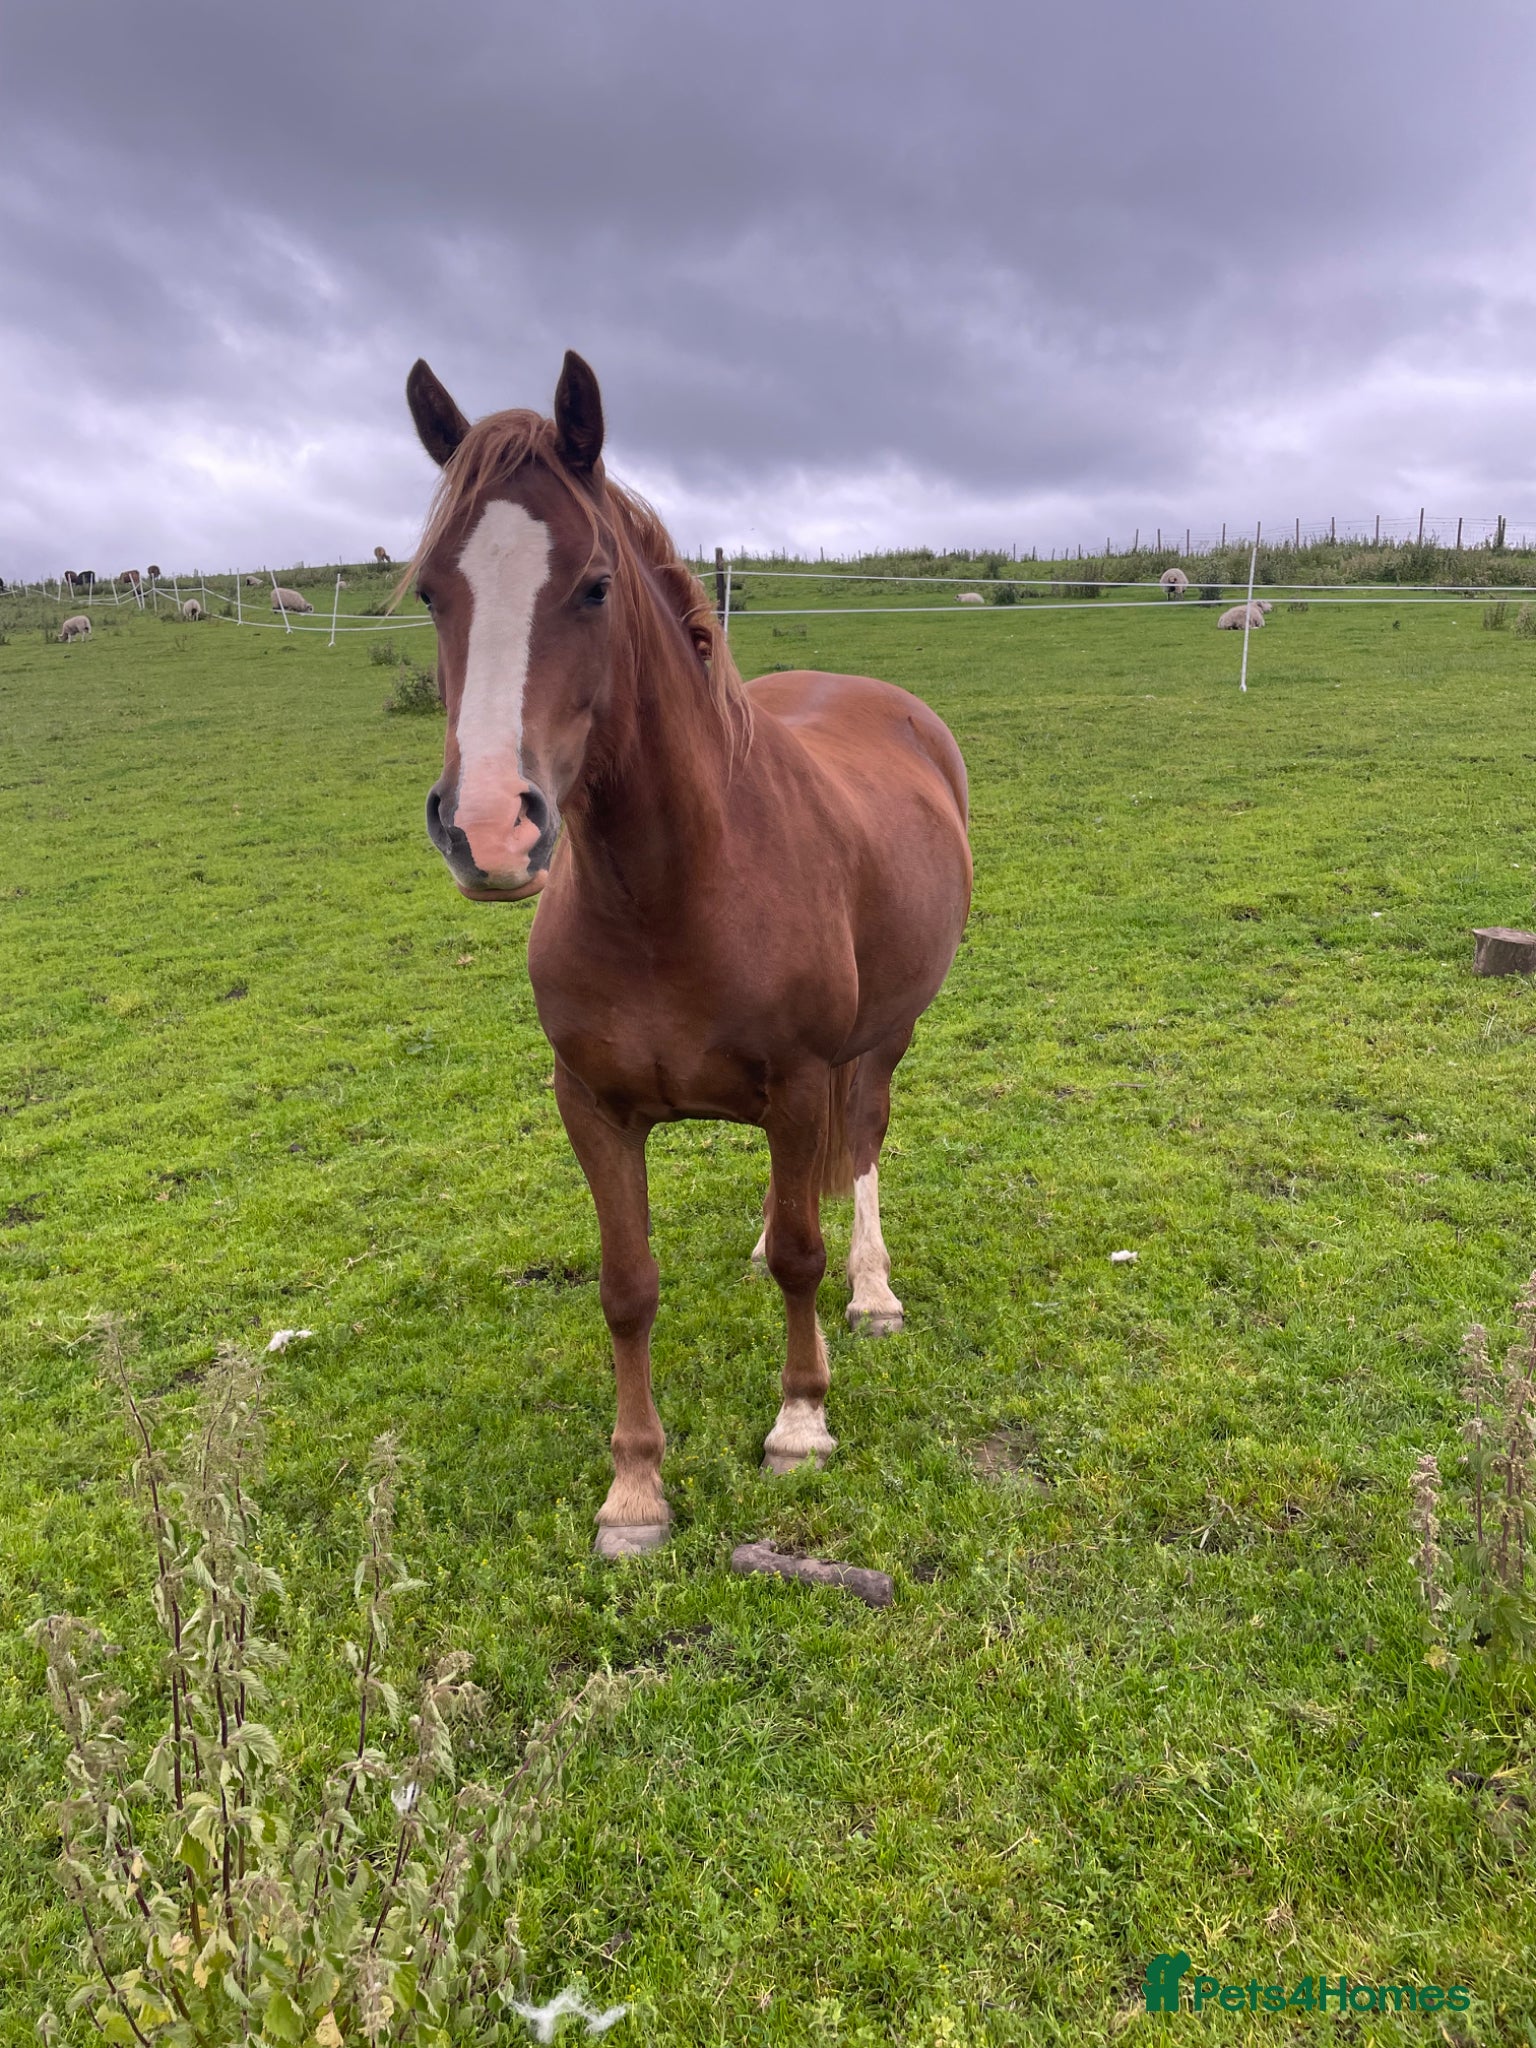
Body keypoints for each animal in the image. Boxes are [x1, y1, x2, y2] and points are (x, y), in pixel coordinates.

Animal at [403, 352, 973, 1557]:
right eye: (431, 587)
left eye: (593, 585)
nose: (490, 828)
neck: (669, 894)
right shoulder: (593, 1104)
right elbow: (628, 1284)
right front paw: (635, 1487)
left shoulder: (801, 1077)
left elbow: (806, 1252)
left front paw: (800, 1422)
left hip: (885, 1036)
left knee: (858, 1144)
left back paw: (872, 1292)